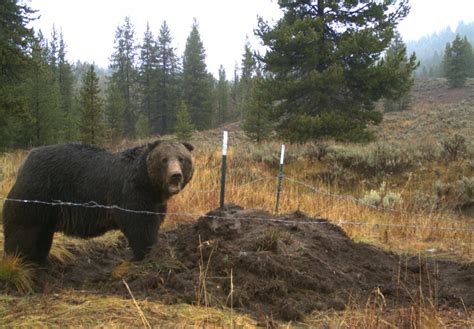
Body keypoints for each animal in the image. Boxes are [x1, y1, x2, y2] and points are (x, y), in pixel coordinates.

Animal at [2, 140, 194, 262]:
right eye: (164, 159)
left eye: (182, 158)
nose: (175, 175)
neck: (149, 185)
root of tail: (26, 160)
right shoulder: (131, 194)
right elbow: (140, 226)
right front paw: (146, 253)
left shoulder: (155, 203)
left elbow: (153, 221)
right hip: (38, 193)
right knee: (22, 228)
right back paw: (19, 258)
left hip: (47, 208)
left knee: (41, 233)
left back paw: (40, 259)